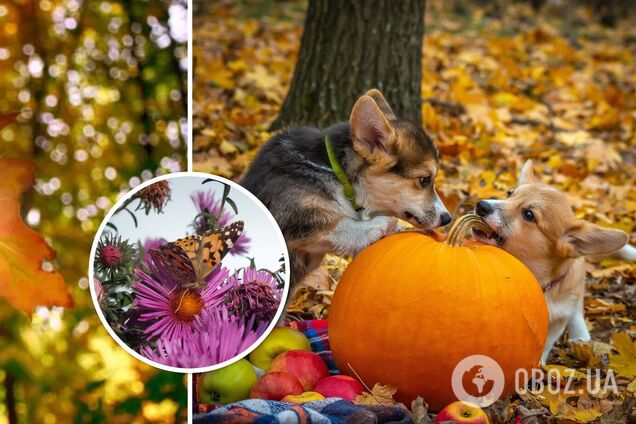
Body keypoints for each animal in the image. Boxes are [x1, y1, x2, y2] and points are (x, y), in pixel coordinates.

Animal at [241, 89, 450, 288]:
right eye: (424, 180)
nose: (447, 218)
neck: (336, 172)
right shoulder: (291, 216)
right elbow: (333, 223)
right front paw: (382, 225)